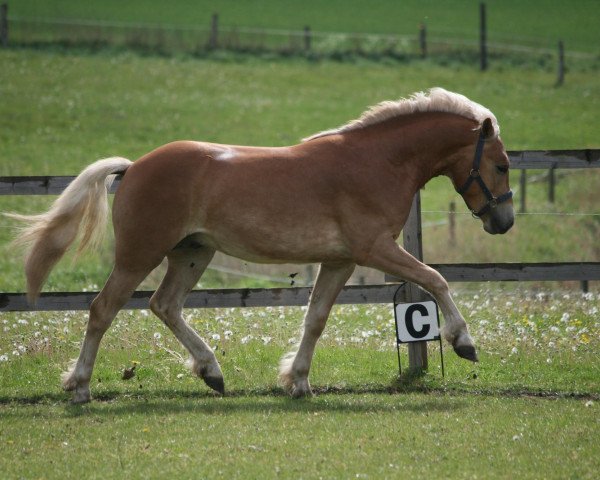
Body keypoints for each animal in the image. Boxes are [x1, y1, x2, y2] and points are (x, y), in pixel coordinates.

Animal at [7, 87, 512, 402]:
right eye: (503, 165)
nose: (503, 221)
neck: (376, 161)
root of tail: (132, 168)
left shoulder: (340, 261)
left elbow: (316, 318)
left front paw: (298, 381)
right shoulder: (375, 249)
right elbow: (436, 279)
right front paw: (464, 342)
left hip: (193, 253)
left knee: (164, 305)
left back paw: (212, 372)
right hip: (139, 255)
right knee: (102, 310)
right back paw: (80, 387)